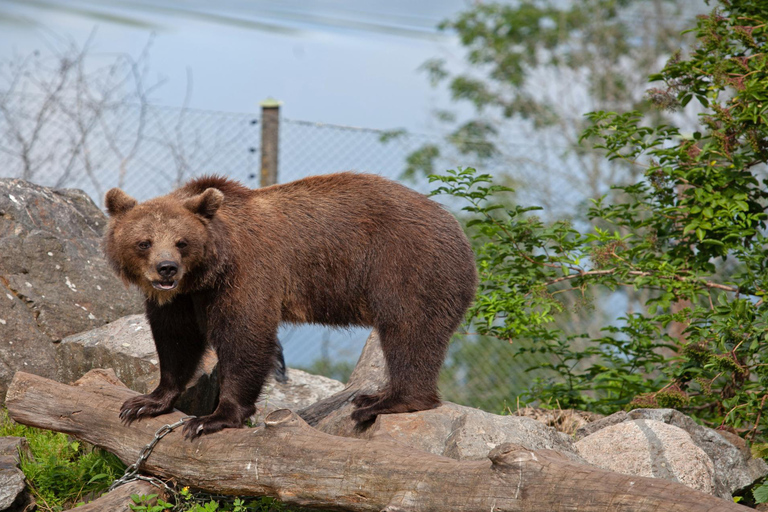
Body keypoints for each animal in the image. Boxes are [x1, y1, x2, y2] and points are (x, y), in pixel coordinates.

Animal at [102, 174, 474, 438]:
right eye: (144, 242)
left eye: (182, 242)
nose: (166, 268)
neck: (208, 272)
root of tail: (458, 229)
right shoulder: (181, 299)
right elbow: (176, 339)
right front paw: (145, 402)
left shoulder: (246, 274)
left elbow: (245, 336)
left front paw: (213, 418)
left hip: (407, 264)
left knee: (409, 329)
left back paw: (382, 402)